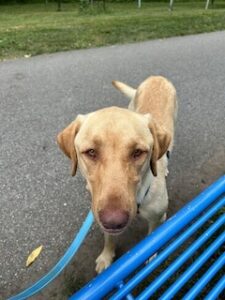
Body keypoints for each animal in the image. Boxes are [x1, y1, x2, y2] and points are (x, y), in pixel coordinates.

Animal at [57, 75, 177, 274]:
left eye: (138, 152)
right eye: (91, 152)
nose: (114, 221)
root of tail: (157, 77)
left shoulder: (153, 218)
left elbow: (152, 238)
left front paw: (151, 255)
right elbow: (109, 239)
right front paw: (106, 256)